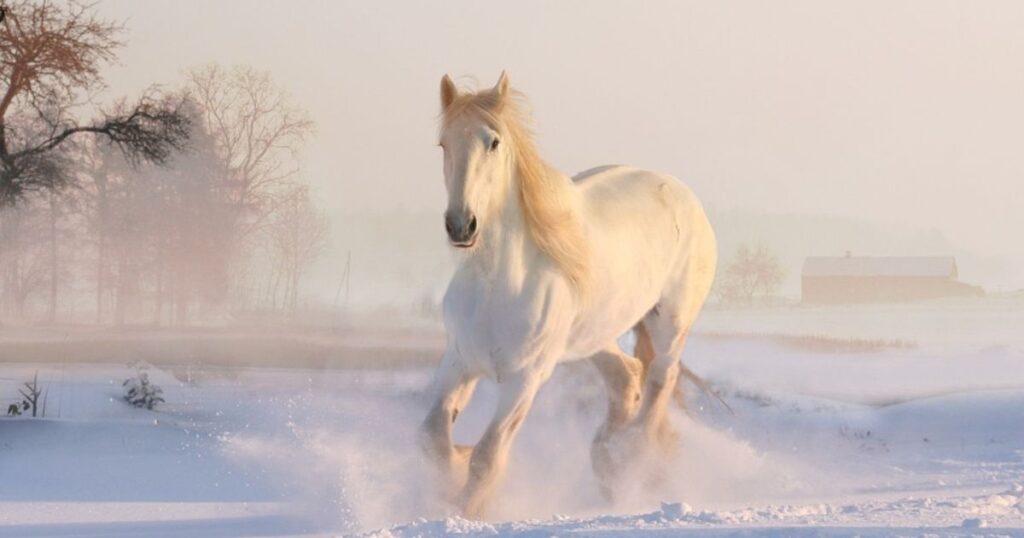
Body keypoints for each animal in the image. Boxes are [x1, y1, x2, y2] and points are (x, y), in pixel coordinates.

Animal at [419, 71, 716, 516]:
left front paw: (465, 509)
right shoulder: (459, 361)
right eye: (444, 143)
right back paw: (608, 460)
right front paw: (451, 476)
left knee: (660, 380)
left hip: (670, 324)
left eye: (493, 142)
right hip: (593, 336)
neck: (496, 286)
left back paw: (629, 457)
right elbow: (434, 438)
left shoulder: (525, 379)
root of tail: (683, 194)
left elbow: (487, 457)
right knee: (627, 376)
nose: (461, 225)